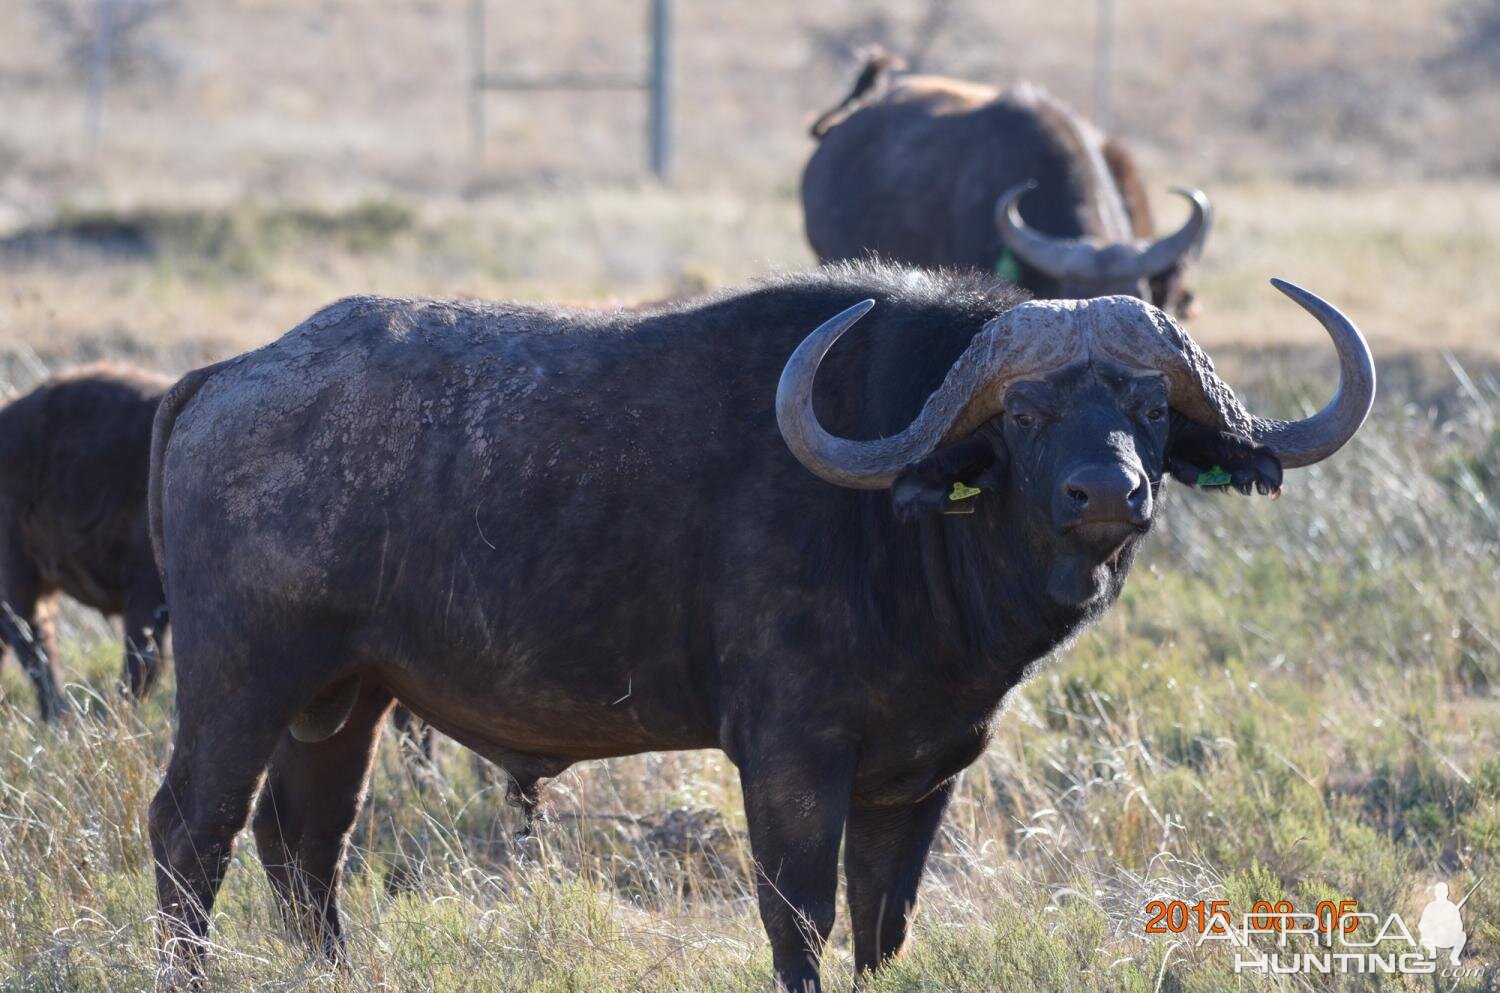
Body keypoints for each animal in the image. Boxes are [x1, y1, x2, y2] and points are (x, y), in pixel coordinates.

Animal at [143, 261, 1374, 990]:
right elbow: (800, 920)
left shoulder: (920, 778)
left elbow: (883, 923)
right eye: (1027, 411)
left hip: (344, 699)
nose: (1107, 494)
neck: (900, 528)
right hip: (241, 678)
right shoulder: (790, 759)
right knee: (192, 833)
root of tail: (228, 376)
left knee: (304, 844)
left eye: (1149, 406)